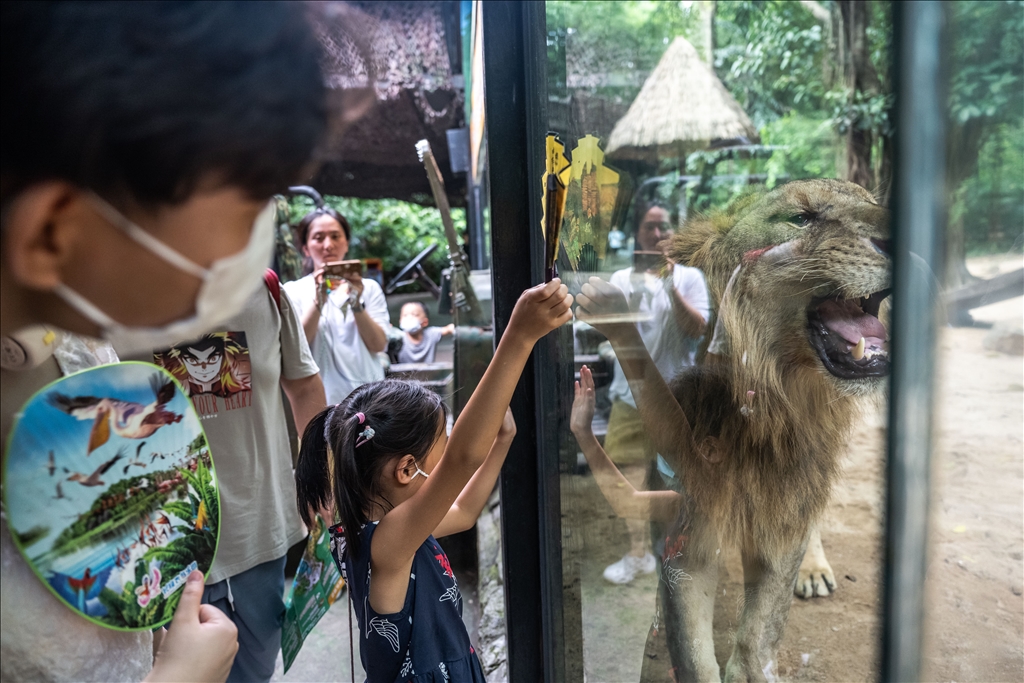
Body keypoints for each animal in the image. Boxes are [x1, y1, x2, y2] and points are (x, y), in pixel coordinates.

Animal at [581, 179, 892, 679]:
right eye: (800, 218)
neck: (766, 405)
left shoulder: (784, 504)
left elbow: (759, 630)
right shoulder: (686, 527)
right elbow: (690, 652)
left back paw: (814, 569)